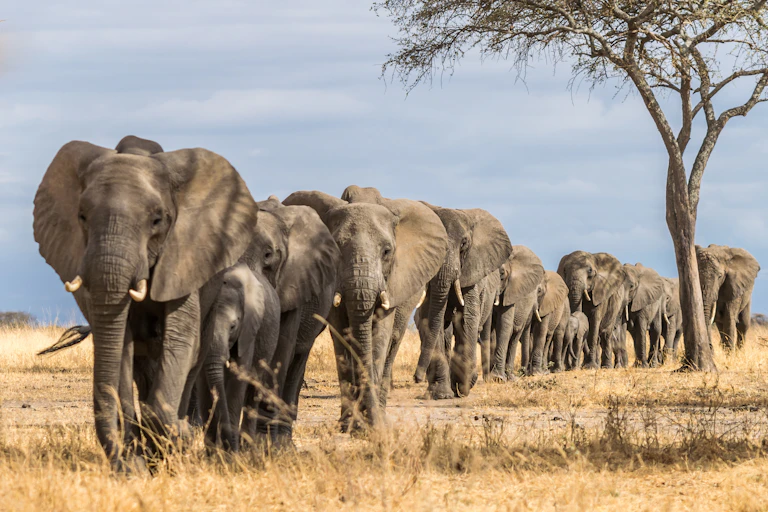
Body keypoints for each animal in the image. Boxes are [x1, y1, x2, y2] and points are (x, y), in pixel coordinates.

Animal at [33, 136, 258, 470]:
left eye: (157, 220)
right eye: (82, 217)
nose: (121, 465)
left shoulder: (184, 258)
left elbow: (180, 340)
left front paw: (176, 438)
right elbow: (120, 346)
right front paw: (136, 463)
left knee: (193, 359)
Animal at [195, 263, 280, 451]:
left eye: (233, 326)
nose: (229, 447)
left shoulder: (249, 329)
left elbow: (238, 376)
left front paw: (230, 451)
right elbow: (203, 382)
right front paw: (212, 451)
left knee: (254, 387)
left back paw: (247, 446)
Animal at [283, 188, 447, 431]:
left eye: (387, 251)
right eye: (335, 248)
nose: (370, 425)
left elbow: (380, 337)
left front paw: (370, 424)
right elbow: (342, 337)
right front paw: (350, 424)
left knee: (393, 342)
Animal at [412, 203, 512, 399]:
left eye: (464, 244)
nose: (416, 378)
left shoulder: (472, 273)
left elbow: (466, 319)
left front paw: (463, 386)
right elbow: (432, 321)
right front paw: (441, 394)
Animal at [489, 246, 545, 381]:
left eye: (502, 274)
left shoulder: (511, 291)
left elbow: (505, 324)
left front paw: (498, 378)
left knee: (515, 335)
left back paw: (510, 377)